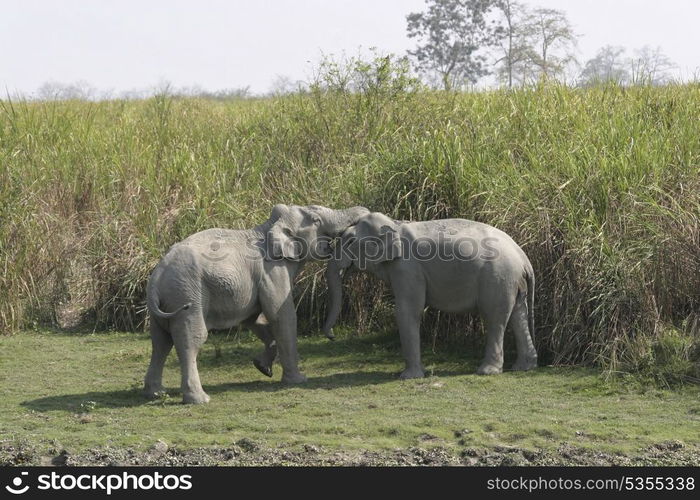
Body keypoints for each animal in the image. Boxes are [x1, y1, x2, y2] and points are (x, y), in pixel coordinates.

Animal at [144, 203, 370, 402]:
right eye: (316, 220)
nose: (331, 337)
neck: (268, 227)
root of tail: (156, 277)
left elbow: (254, 320)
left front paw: (262, 368)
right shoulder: (272, 270)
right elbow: (282, 316)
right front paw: (298, 380)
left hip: (166, 304)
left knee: (161, 341)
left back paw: (155, 393)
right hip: (187, 294)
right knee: (191, 338)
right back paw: (200, 399)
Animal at [322, 211, 536, 378]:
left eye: (350, 241)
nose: (332, 336)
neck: (395, 224)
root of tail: (523, 257)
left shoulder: (407, 267)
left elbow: (408, 310)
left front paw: (409, 377)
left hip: (498, 278)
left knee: (495, 318)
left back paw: (487, 371)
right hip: (513, 281)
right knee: (518, 315)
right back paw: (523, 368)